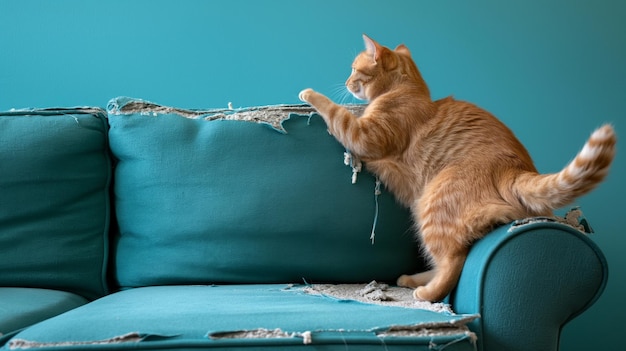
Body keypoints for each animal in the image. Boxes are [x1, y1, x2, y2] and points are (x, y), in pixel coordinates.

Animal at [298, 33, 616, 302]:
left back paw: (426, 293)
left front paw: (310, 94)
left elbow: (335, 112)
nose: (346, 82)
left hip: (432, 204)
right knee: (444, 260)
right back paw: (412, 279)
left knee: (453, 262)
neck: (406, 91)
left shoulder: (365, 137)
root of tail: (516, 168)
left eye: (354, 69)